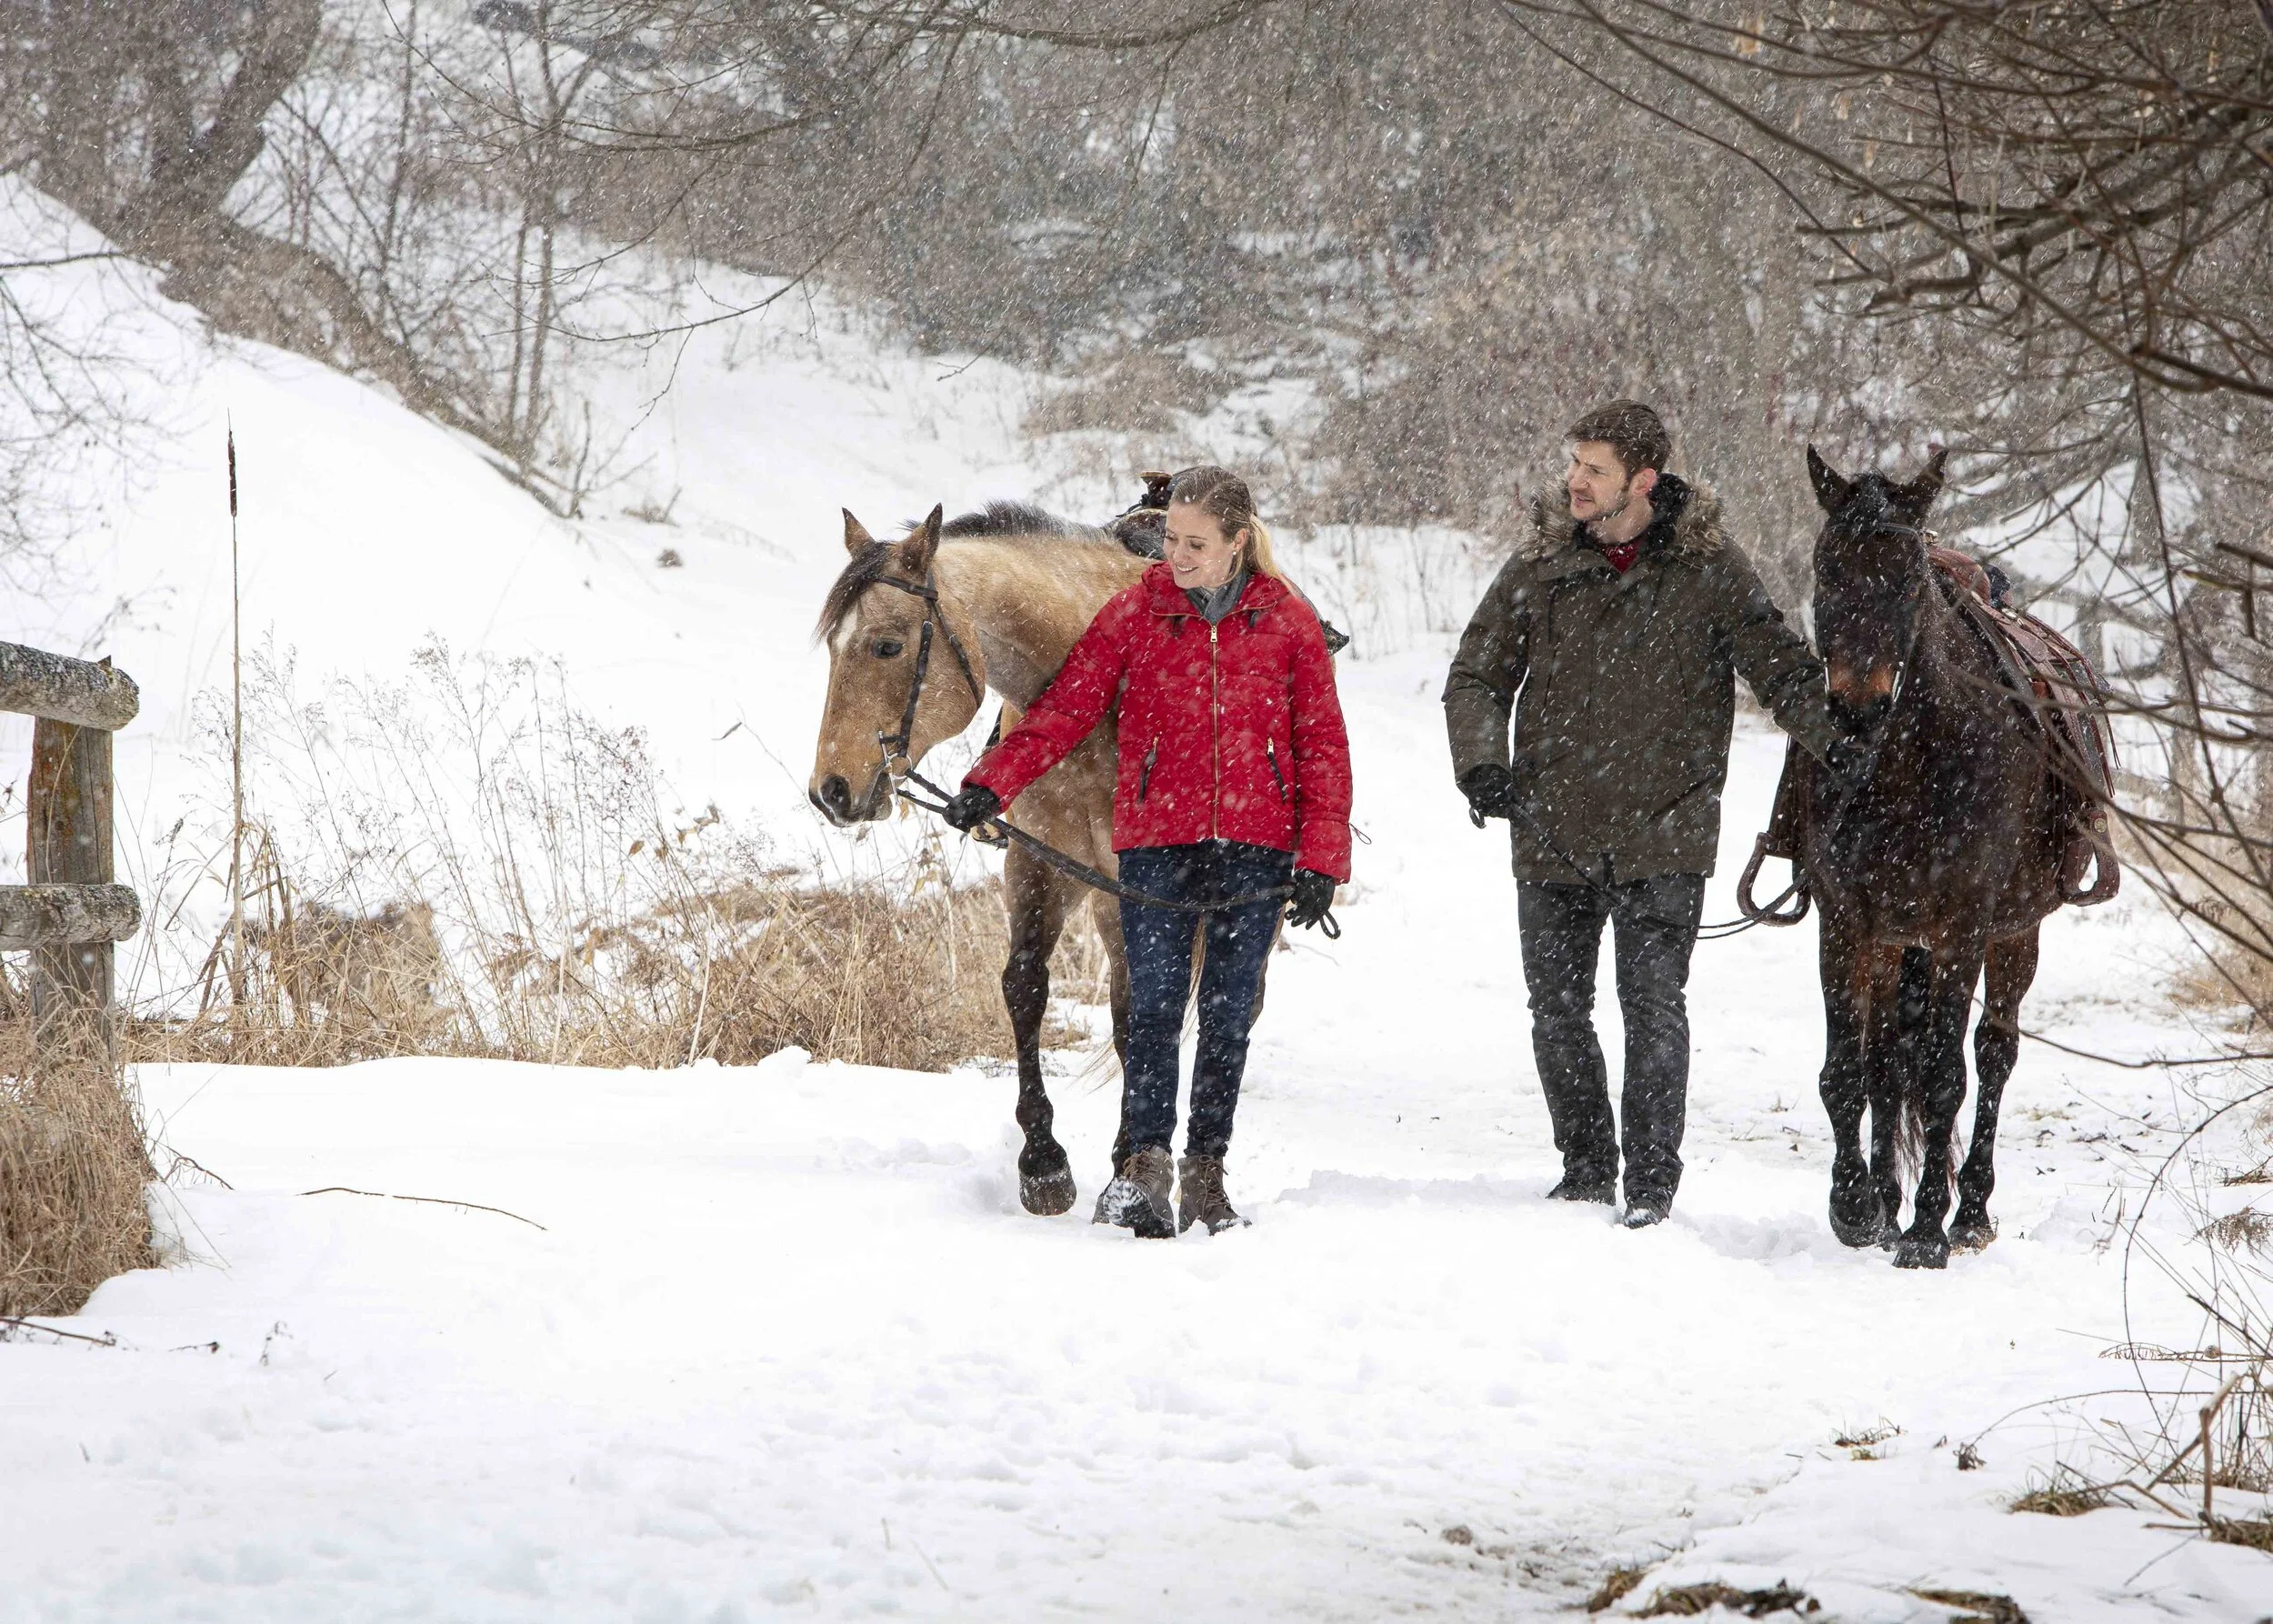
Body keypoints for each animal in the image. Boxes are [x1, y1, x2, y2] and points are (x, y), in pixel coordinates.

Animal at [806, 499, 1153, 1216]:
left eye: (887, 645)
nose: (831, 791)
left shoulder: (1130, 884)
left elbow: (1138, 1012)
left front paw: (1128, 1173)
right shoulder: (1038, 867)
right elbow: (1025, 987)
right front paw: (1043, 1165)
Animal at [1794, 446, 2108, 1270]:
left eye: (1907, 577)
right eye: (1825, 569)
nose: (1858, 710)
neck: (1906, 766)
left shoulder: (1962, 926)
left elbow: (1943, 1077)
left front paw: (1928, 1231)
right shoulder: (1847, 923)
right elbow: (1849, 1071)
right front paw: (1857, 1209)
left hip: (2013, 935)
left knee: (1993, 1054)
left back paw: (1968, 1213)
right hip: (1897, 946)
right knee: (1887, 1060)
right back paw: (1889, 1202)